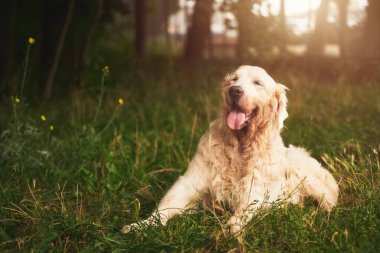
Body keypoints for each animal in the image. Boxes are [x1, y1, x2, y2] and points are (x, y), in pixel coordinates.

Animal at [123, 65, 340, 235]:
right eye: (234, 79)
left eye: (257, 83)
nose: (235, 91)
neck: (240, 145)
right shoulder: (191, 181)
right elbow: (166, 206)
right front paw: (141, 225)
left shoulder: (253, 188)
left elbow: (243, 211)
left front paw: (230, 229)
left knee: (329, 198)